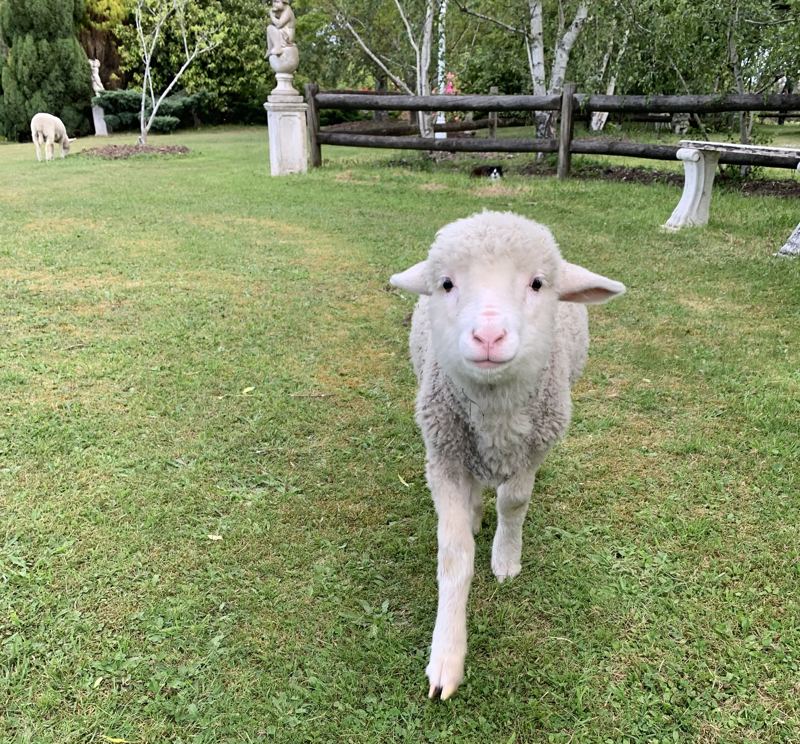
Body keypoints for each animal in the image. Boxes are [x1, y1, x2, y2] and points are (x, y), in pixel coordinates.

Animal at [389, 211, 625, 700]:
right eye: (446, 284)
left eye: (537, 283)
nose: (488, 334)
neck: (495, 415)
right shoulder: (443, 455)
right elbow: (454, 554)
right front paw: (446, 656)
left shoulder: (534, 448)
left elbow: (513, 503)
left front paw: (505, 558)